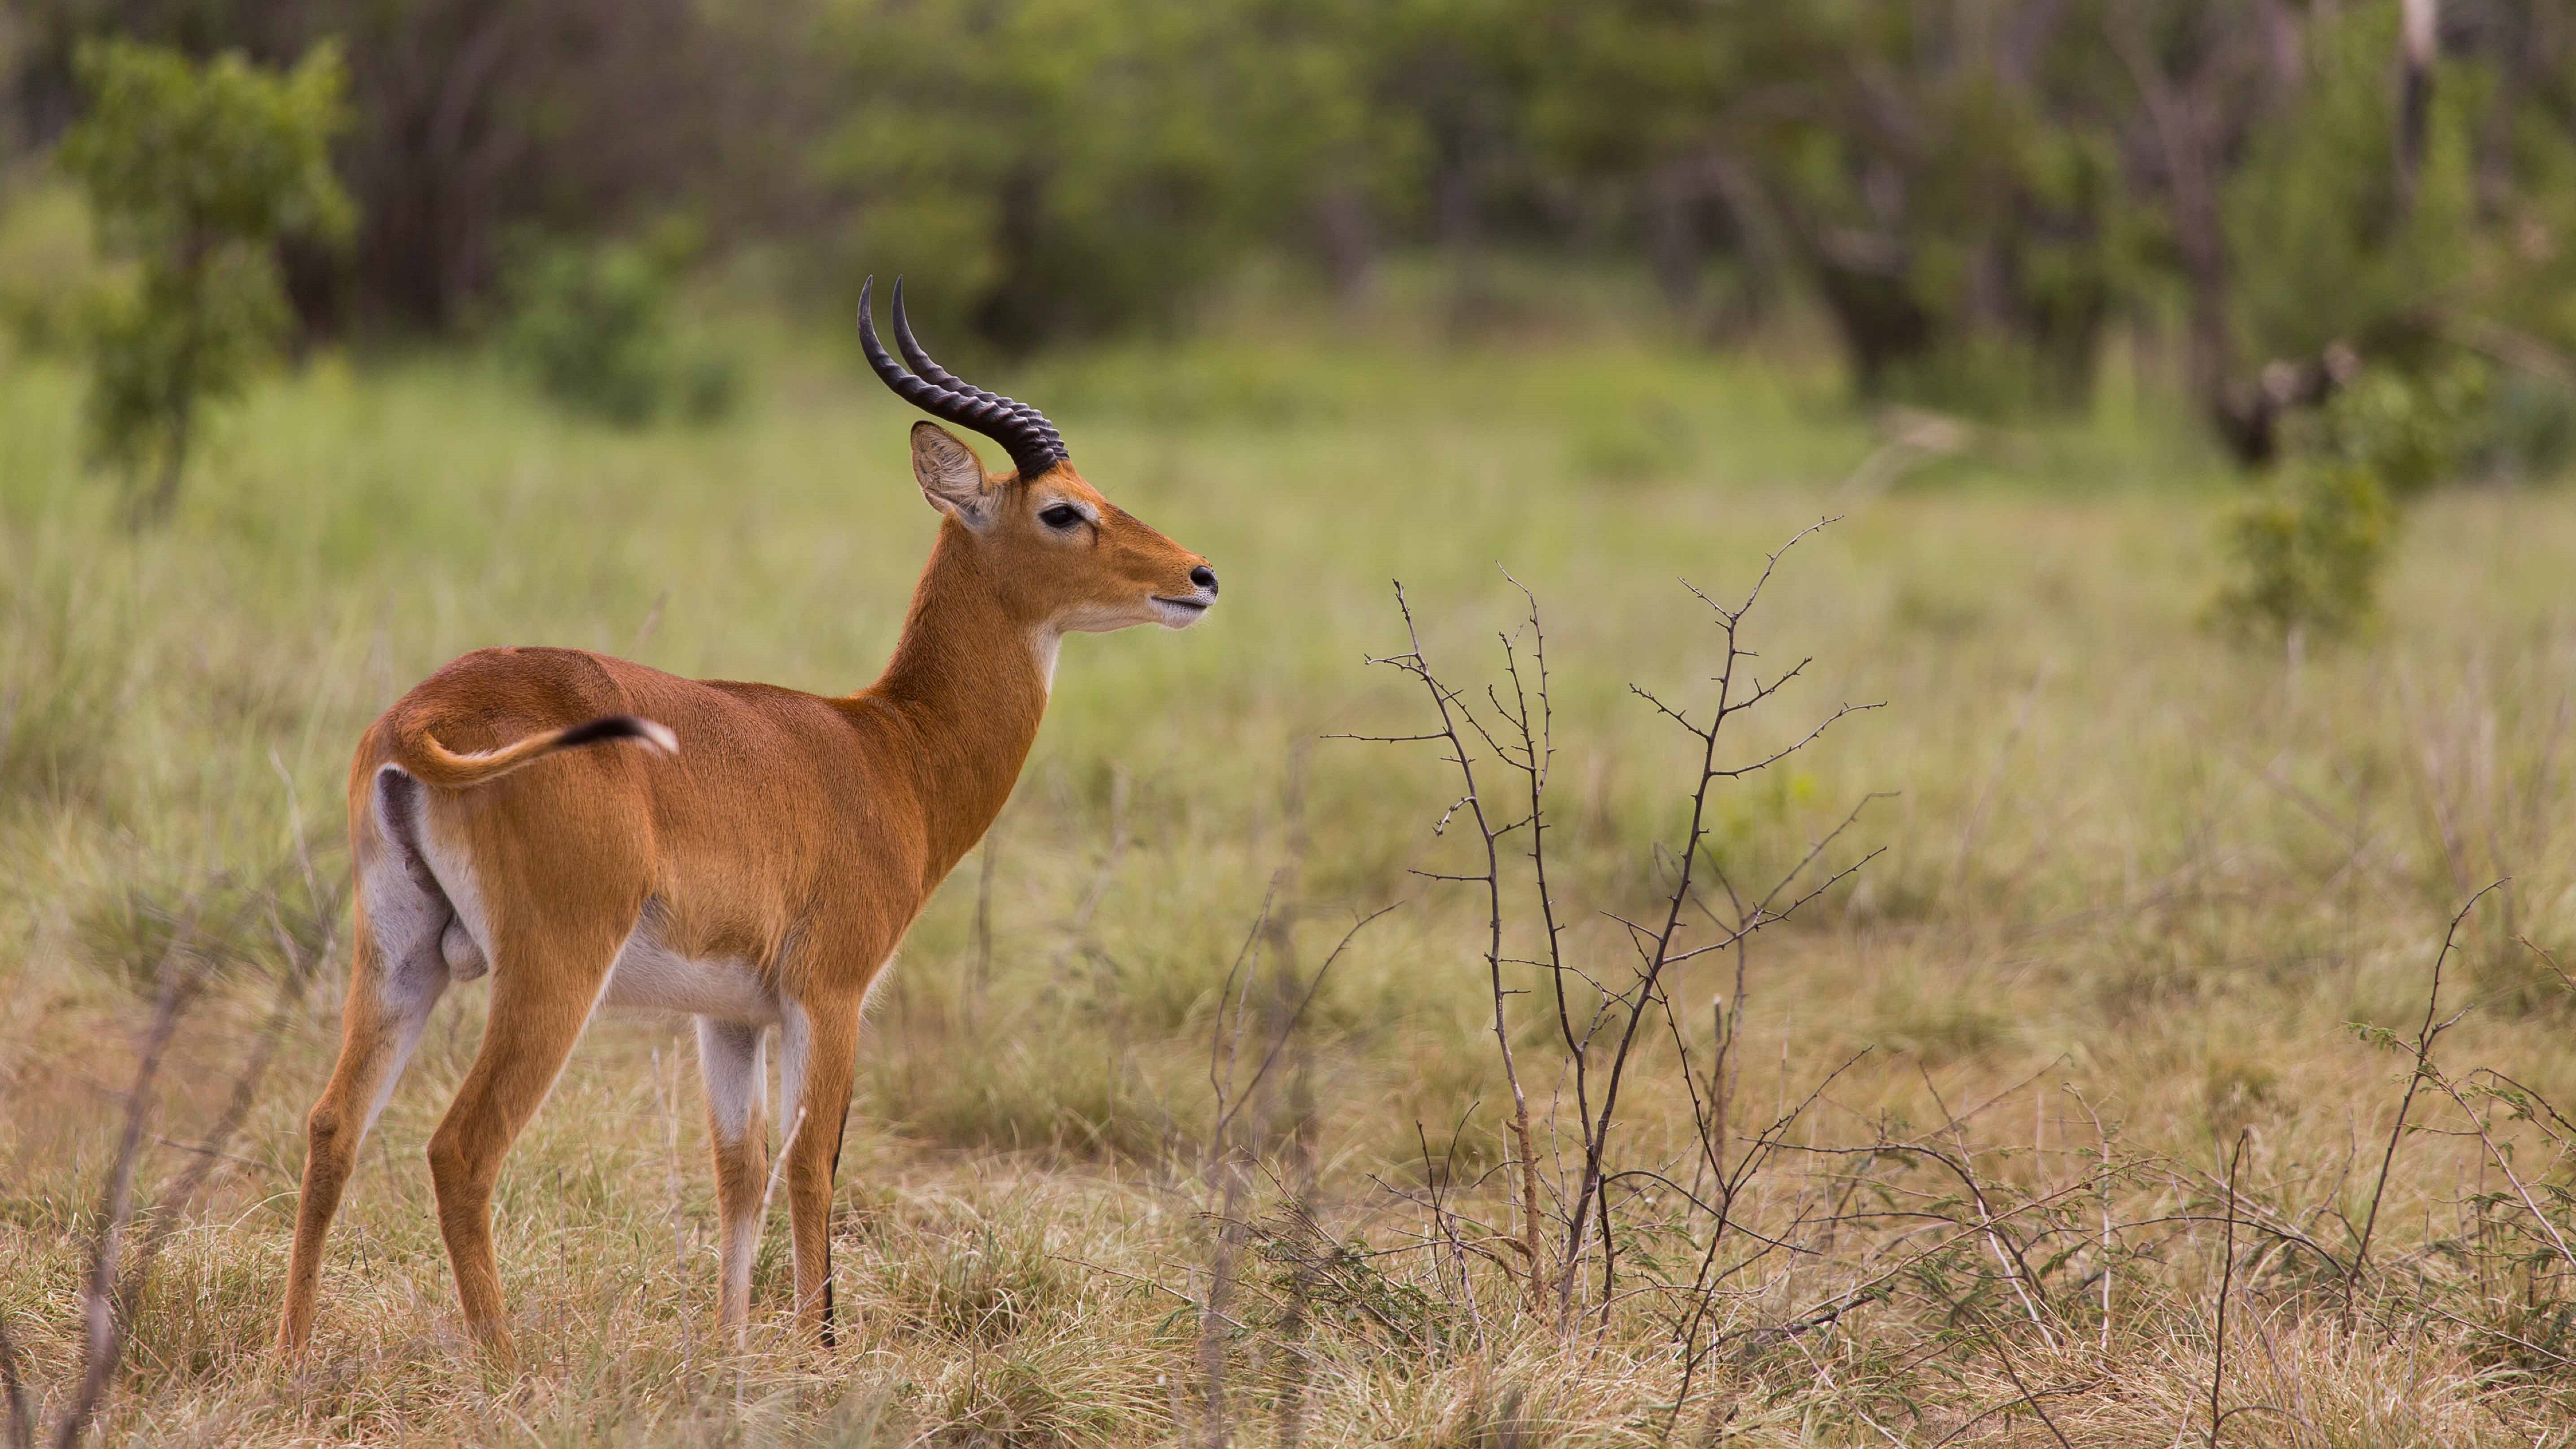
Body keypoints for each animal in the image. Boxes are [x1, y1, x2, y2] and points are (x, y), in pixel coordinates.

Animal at [275, 280, 1218, 1360]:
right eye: (1065, 510)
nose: (1200, 576)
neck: (889, 750)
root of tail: (427, 716)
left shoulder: (727, 1018)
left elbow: (739, 1172)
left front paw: (731, 1350)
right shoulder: (832, 996)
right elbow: (813, 1167)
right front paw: (819, 1353)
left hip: (399, 955)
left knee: (333, 1124)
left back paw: (290, 1363)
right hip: (553, 969)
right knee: (462, 1149)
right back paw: (509, 1370)